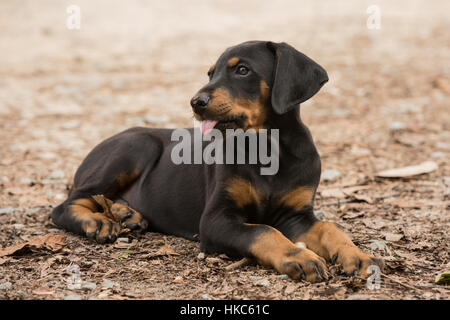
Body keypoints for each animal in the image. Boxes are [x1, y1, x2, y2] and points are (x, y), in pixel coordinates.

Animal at [52, 40, 384, 282]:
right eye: (211, 73)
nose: (195, 102)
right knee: (66, 204)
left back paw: (125, 213)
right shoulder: (215, 220)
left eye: (243, 70)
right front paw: (299, 257)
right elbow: (263, 231)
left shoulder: (296, 216)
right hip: (137, 145)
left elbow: (329, 228)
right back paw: (97, 221)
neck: (268, 149)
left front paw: (357, 255)